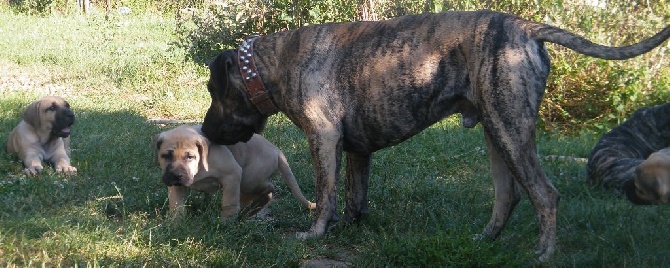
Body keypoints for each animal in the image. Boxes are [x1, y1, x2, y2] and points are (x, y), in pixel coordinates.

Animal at [155, 125, 318, 220]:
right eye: (166, 156)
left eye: (190, 157)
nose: (176, 175)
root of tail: (277, 151)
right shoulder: (176, 186)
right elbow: (176, 204)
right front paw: (176, 223)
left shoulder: (232, 174)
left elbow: (229, 203)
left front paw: (225, 223)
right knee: (260, 195)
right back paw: (247, 212)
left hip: (248, 179)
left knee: (268, 190)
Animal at [200, 10, 670, 262]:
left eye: (211, 90)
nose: (204, 130)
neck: (270, 66)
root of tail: (524, 27)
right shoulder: (356, 151)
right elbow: (354, 194)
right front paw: (349, 226)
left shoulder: (324, 140)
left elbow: (325, 193)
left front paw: (315, 233)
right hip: (495, 134)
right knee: (508, 195)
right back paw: (485, 241)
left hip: (510, 129)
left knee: (545, 194)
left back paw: (542, 254)